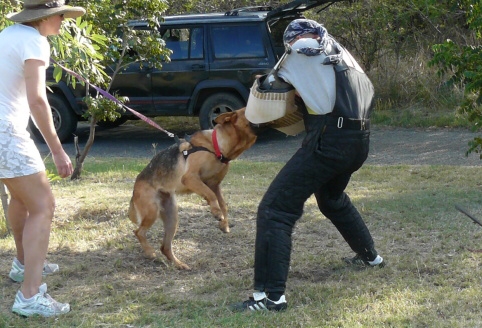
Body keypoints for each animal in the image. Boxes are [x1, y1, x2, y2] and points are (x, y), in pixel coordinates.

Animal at [128, 107, 256, 270]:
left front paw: (224, 223)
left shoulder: (214, 185)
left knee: (165, 247)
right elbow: (211, 196)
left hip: (172, 217)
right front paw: (216, 213)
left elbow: (223, 204)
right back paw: (150, 252)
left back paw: (179, 264)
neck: (215, 146)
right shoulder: (191, 179)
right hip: (152, 212)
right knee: (138, 232)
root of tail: (135, 188)